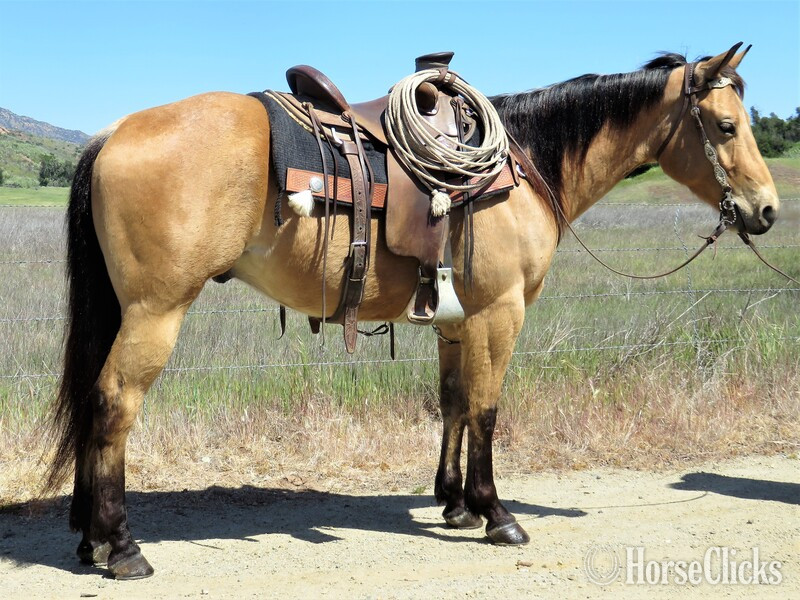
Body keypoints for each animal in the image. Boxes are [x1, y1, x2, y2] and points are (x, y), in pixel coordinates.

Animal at [46, 43, 778, 579]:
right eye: (725, 126)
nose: (767, 210)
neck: (525, 165)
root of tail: (112, 134)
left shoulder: (458, 320)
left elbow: (452, 401)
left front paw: (453, 503)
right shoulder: (499, 314)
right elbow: (486, 409)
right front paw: (496, 513)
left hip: (125, 309)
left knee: (92, 400)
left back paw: (91, 540)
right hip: (155, 310)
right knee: (113, 403)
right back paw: (122, 547)